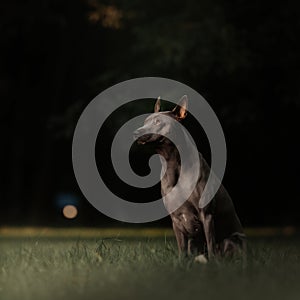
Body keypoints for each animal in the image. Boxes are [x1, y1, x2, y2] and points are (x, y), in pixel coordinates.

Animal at [134, 96, 246, 260]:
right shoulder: (176, 219)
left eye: (158, 122)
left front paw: (214, 263)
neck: (173, 165)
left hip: (233, 239)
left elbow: (211, 243)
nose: (135, 132)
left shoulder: (207, 215)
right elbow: (182, 248)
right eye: (145, 121)